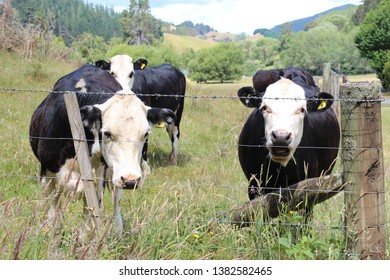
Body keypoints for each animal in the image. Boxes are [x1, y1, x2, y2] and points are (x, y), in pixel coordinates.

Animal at [29, 64, 176, 236]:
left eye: (145, 133)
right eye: (107, 133)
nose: (131, 180)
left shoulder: (97, 181)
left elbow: (89, 222)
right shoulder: (46, 174)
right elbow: (52, 216)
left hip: (114, 176)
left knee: (116, 204)